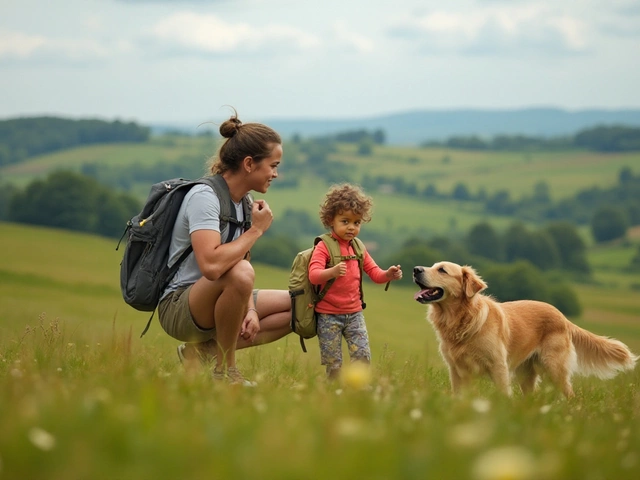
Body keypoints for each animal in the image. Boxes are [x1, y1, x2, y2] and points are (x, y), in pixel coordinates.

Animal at [412, 262, 636, 398]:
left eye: (442, 270)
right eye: (433, 266)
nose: (415, 269)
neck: (462, 319)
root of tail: (563, 317)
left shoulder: (498, 366)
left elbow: (503, 393)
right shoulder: (456, 370)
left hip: (554, 368)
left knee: (570, 395)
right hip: (526, 374)